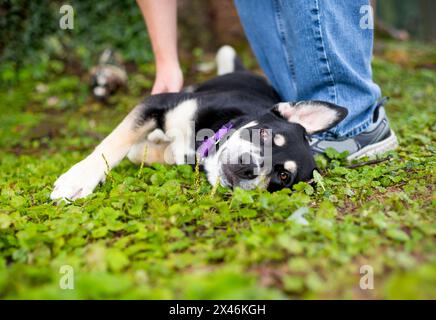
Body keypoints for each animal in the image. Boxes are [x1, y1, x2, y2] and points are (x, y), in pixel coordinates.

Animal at [49, 46, 346, 200]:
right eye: (263, 133)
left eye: (283, 177)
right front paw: (79, 178)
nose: (248, 167)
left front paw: (149, 149)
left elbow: (139, 151)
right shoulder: (159, 102)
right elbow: (115, 142)